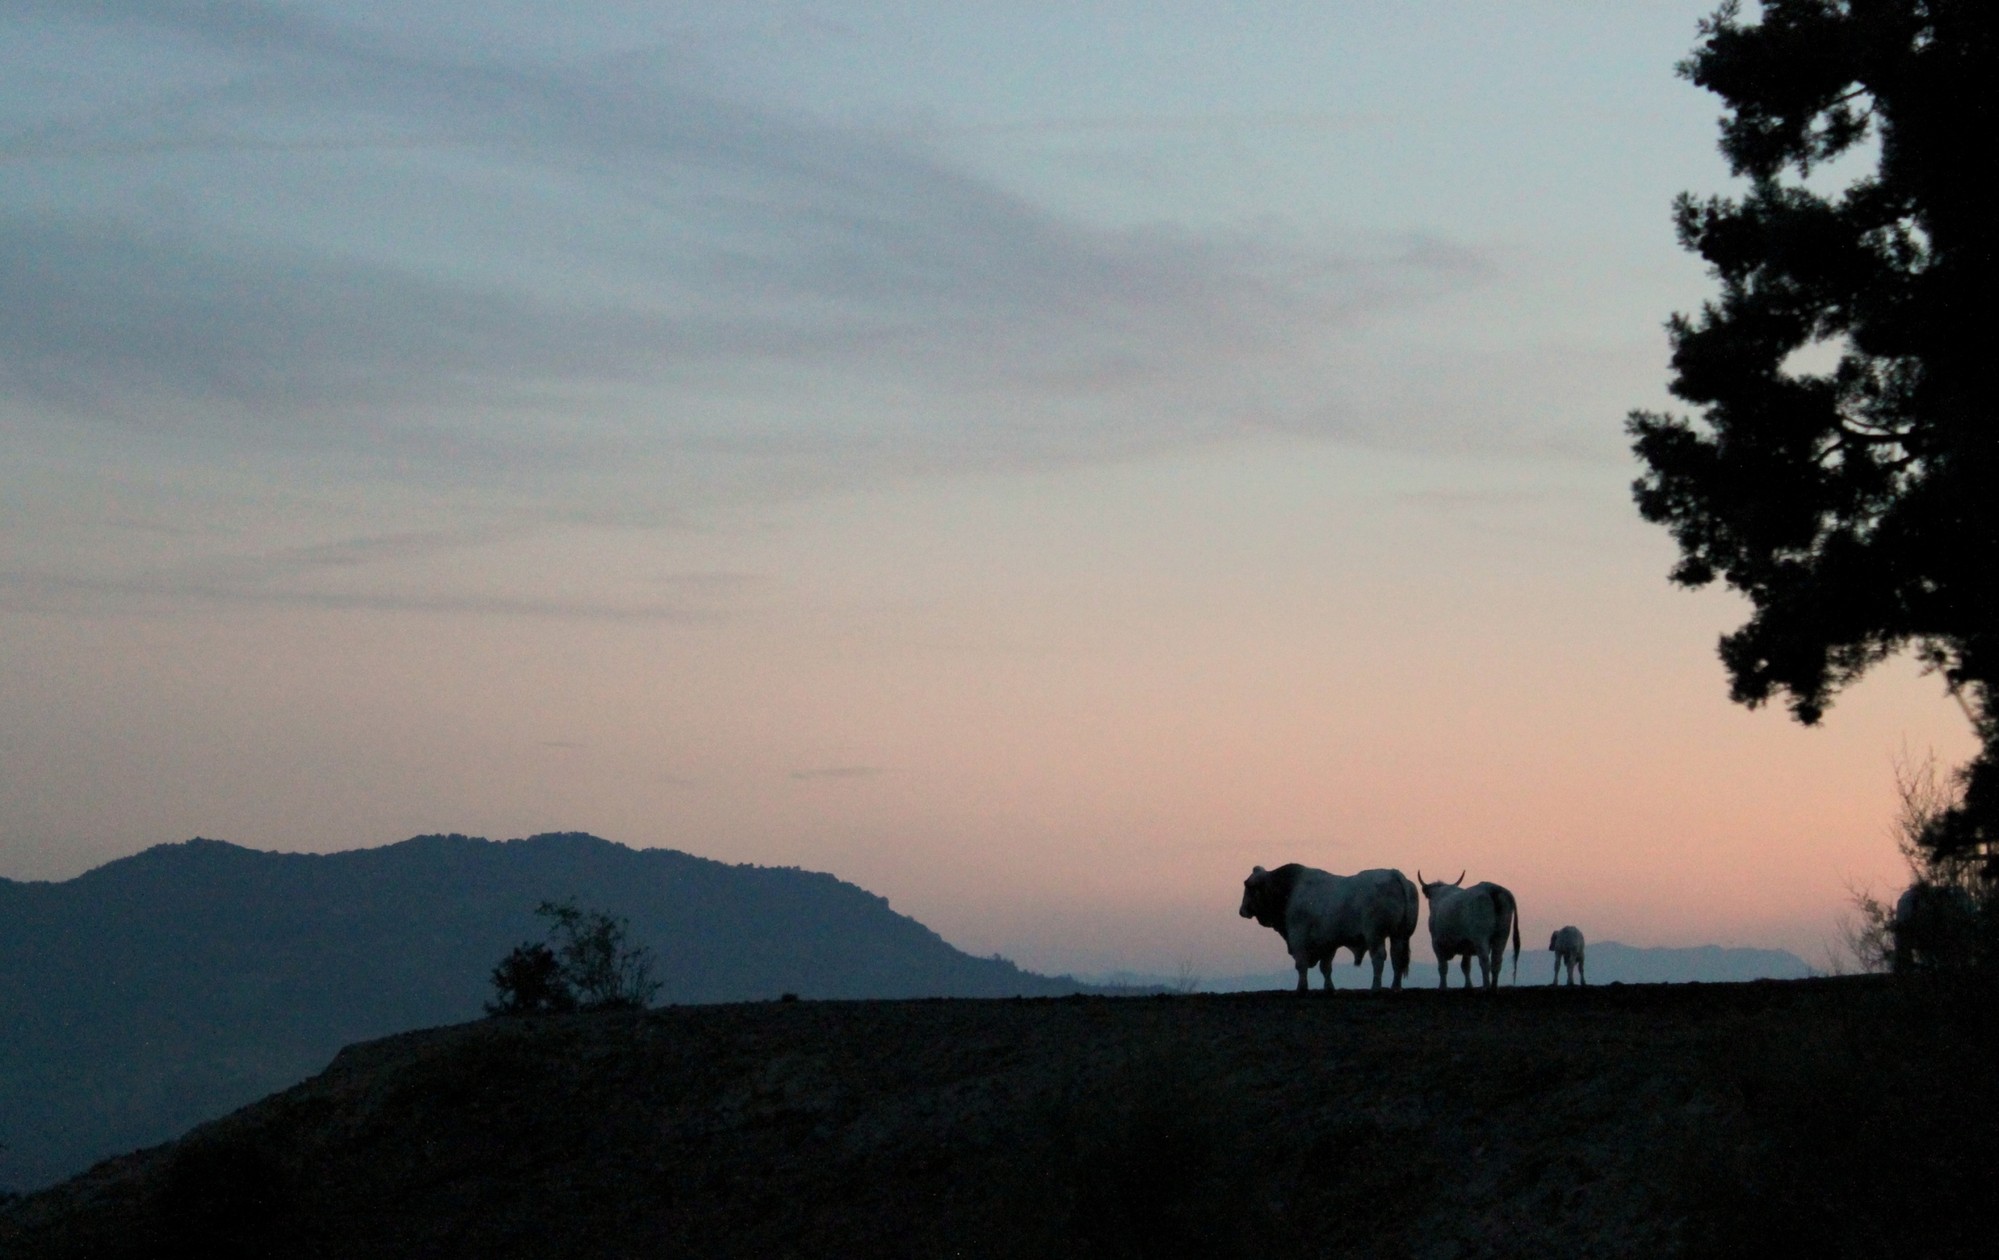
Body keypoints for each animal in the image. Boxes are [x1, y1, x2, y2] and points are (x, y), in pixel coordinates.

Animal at [1231, 868, 1423, 996]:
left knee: (1379, 958)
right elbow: (1326, 968)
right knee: (1397, 958)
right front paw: (1329, 988)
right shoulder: (1328, 944)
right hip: (1399, 935)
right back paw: (1395, 987)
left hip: (1375, 936)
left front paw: (1301, 988)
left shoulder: (1298, 938)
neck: (1289, 890)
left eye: (1248, 886)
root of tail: (1394, 873)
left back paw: (1375, 987)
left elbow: (1301, 965)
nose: (1241, 911)